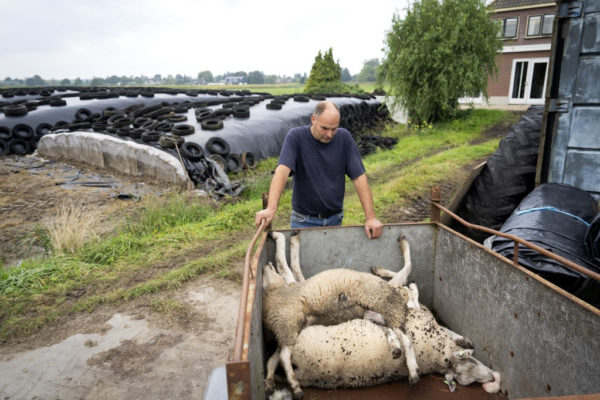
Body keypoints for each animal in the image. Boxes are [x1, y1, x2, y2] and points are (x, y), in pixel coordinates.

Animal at [262, 230, 418, 398]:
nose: (264, 265)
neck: (276, 292)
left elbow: (288, 265)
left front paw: (285, 237)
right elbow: (286, 265)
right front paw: (282, 237)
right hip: (289, 325)